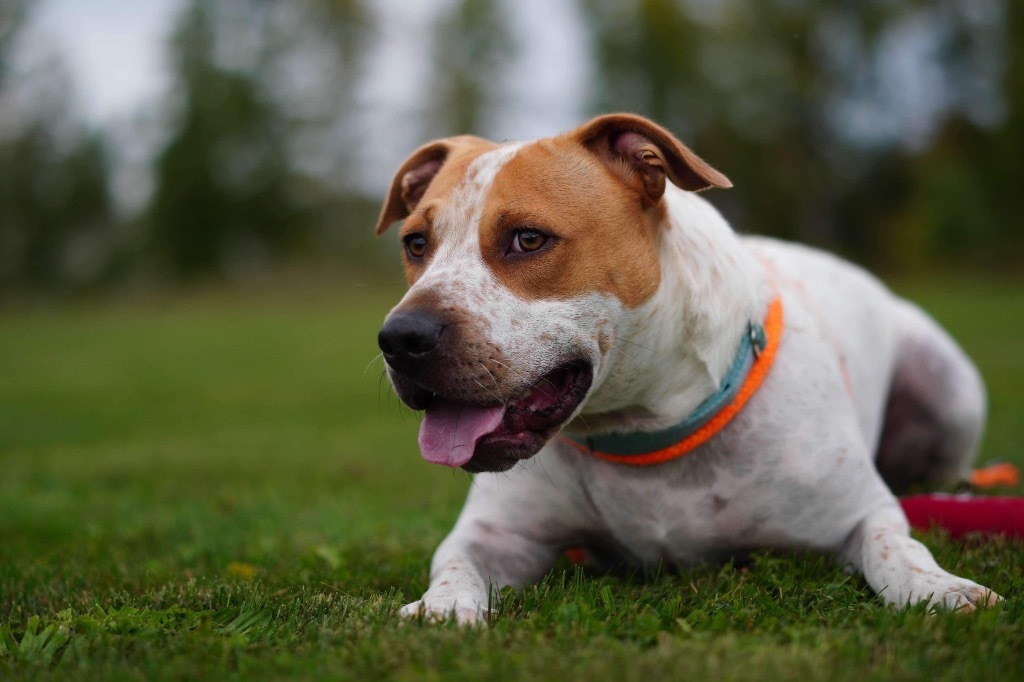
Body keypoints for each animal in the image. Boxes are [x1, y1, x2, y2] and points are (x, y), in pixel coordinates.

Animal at [372, 111, 995, 622]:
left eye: (528, 239)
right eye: (415, 243)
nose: (401, 338)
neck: (644, 426)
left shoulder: (863, 512)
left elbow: (896, 546)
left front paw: (939, 588)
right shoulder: (495, 534)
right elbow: (455, 565)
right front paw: (439, 608)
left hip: (949, 387)